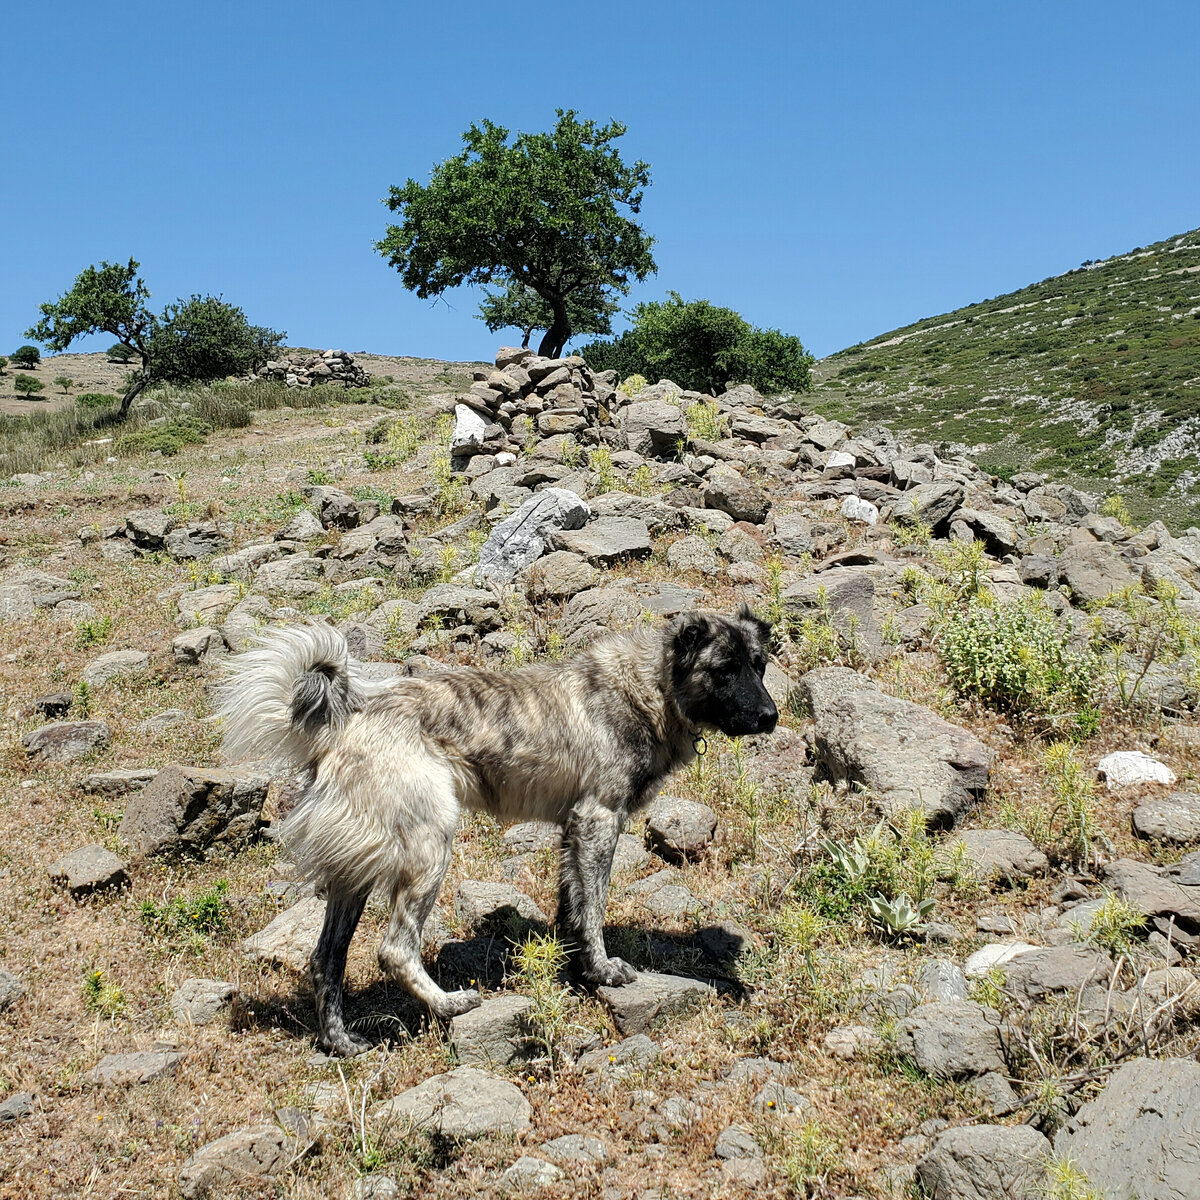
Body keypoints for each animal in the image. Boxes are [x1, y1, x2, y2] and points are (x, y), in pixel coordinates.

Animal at [216, 604, 777, 1056]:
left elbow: (572, 906)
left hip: (354, 872)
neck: (649, 688)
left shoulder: (574, 830)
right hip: (429, 847)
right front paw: (602, 971)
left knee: (326, 958)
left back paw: (341, 1043)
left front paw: (575, 971)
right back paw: (448, 1005)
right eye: (724, 670)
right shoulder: (598, 820)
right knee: (394, 949)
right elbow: (594, 908)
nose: (771, 717)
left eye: (760, 665)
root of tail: (344, 722)